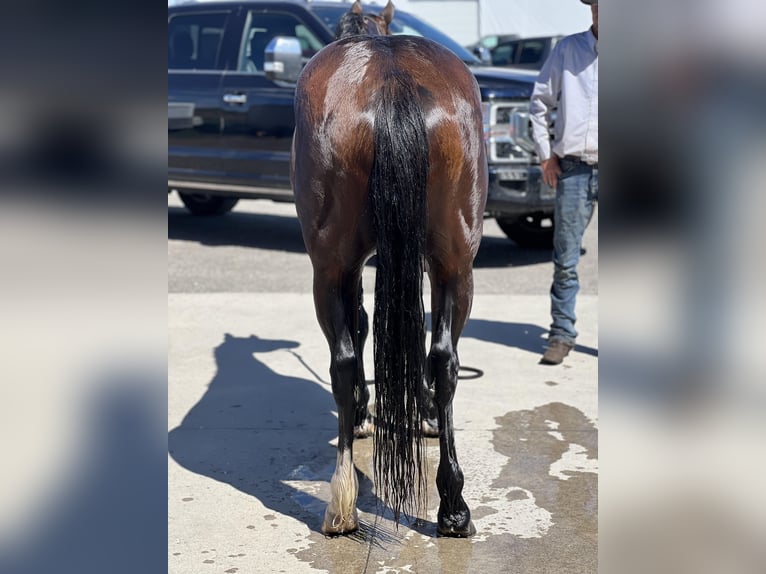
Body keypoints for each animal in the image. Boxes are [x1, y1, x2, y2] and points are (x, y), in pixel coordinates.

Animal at [292, 1, 488, 540]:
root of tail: (390, 78)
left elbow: (366, 328)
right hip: (453, 264)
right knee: (443, 359)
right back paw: (449, 506)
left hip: (332, 266)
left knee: (346, 359)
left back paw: (347, 499)